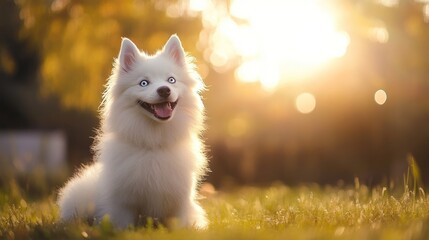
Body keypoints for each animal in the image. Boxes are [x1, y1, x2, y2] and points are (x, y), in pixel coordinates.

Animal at [57, 34, 208, 229]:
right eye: (144, 83)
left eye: (171, 80)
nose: (164, 90)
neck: (153, 143)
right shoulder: (123, 202)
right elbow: (123, 223)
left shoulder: (179, 200)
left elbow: (178, 222)